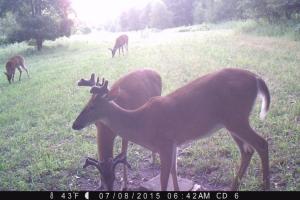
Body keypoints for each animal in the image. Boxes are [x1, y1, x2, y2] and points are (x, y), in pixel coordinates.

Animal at [72, 68, 272, 191]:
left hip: (237, 118)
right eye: (86, 103)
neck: (141, 123)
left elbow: (163, 179)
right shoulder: (174, 143)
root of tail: (257, 78)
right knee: (248, 150)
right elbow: (174, 172)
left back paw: (265, 186)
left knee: (262, 143)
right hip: (231, 122)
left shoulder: (165, 143)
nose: (75, 124)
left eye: (92, 106)